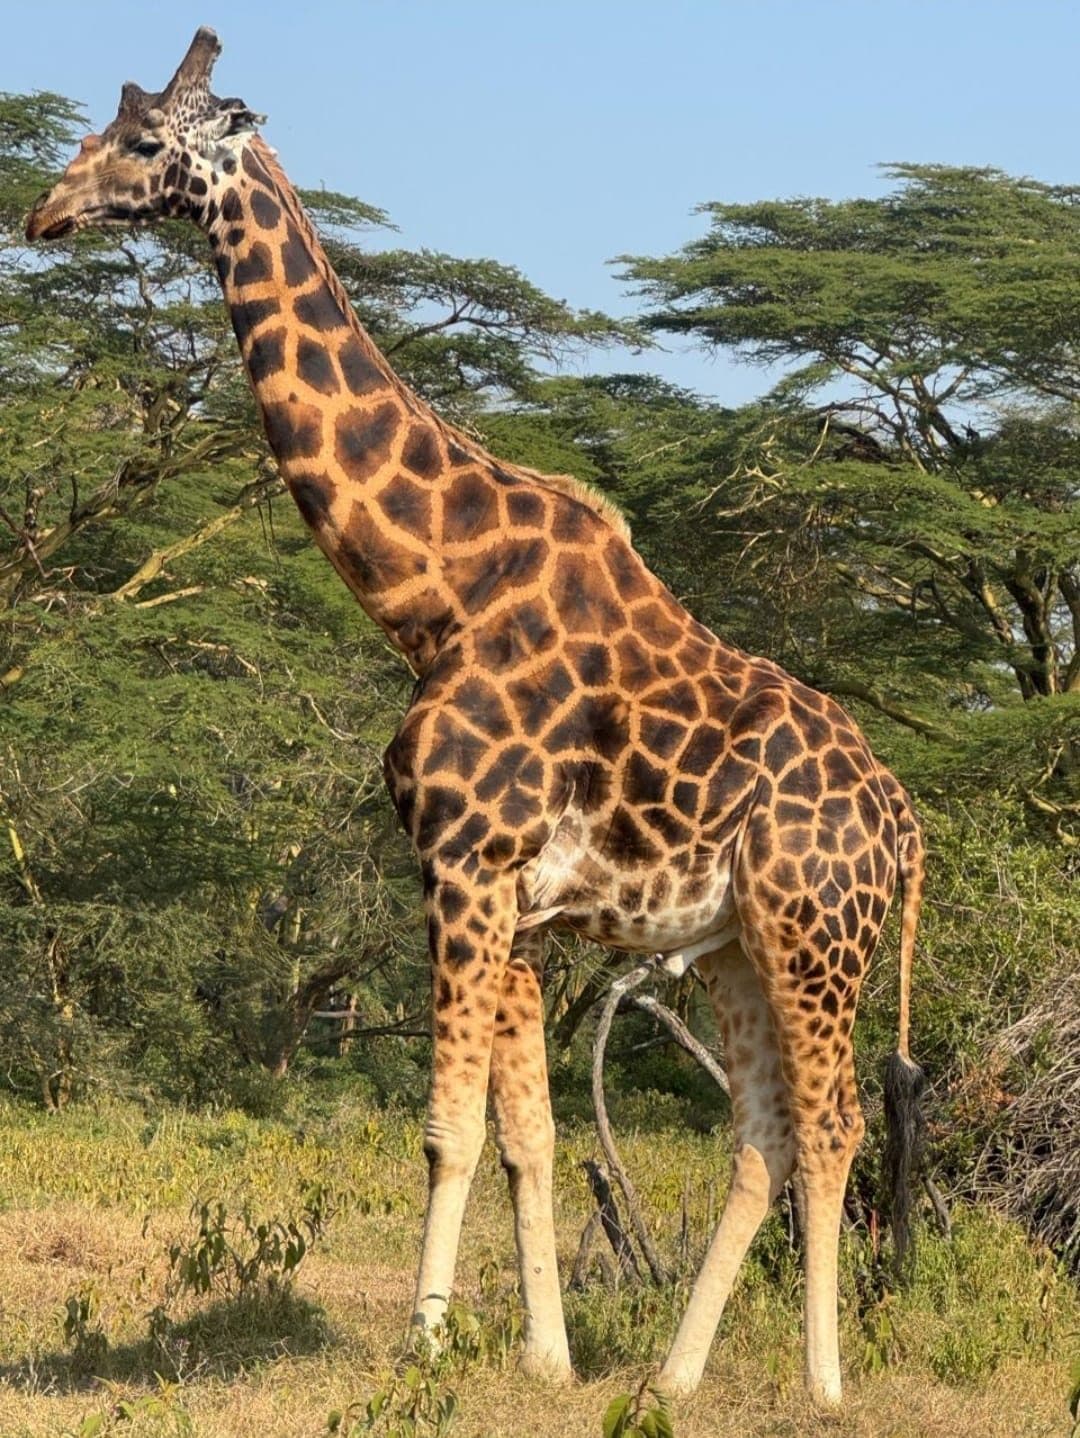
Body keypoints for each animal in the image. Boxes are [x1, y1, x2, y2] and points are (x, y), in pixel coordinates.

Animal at [26, 28, 927, 1407]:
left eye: (139, 141)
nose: (43, 211)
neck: (433, 591)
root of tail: (903, 823)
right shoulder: (514, 903)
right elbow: (528, 1138)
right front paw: (546, 1359)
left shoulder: (462, 867)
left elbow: (448, 1129)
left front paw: (426, 1346)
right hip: (733, 944)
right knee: (764, 1134)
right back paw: (670, 1379)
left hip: (818, 934)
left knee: (832, 1127)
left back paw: (825, 1386)